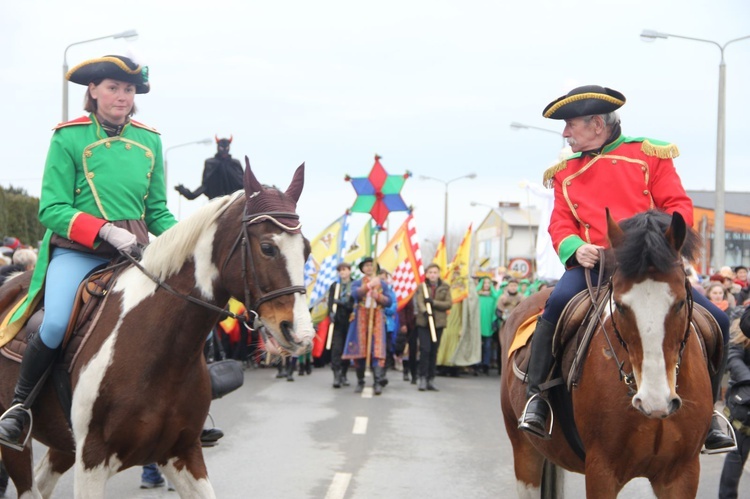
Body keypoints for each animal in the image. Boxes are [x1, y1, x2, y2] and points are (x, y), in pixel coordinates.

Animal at [0, 161, 314, 499]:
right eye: (268, 247)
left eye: (306, 250)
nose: (301, 335)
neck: (161, 351)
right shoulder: (92, 460)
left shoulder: (182, 452)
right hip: (20, 448)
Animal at [506, 211, 724, 499]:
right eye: (620, 306)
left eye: (678, 303)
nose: (654, 400)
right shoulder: (601, 471)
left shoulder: (682, 474)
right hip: (524, 451)